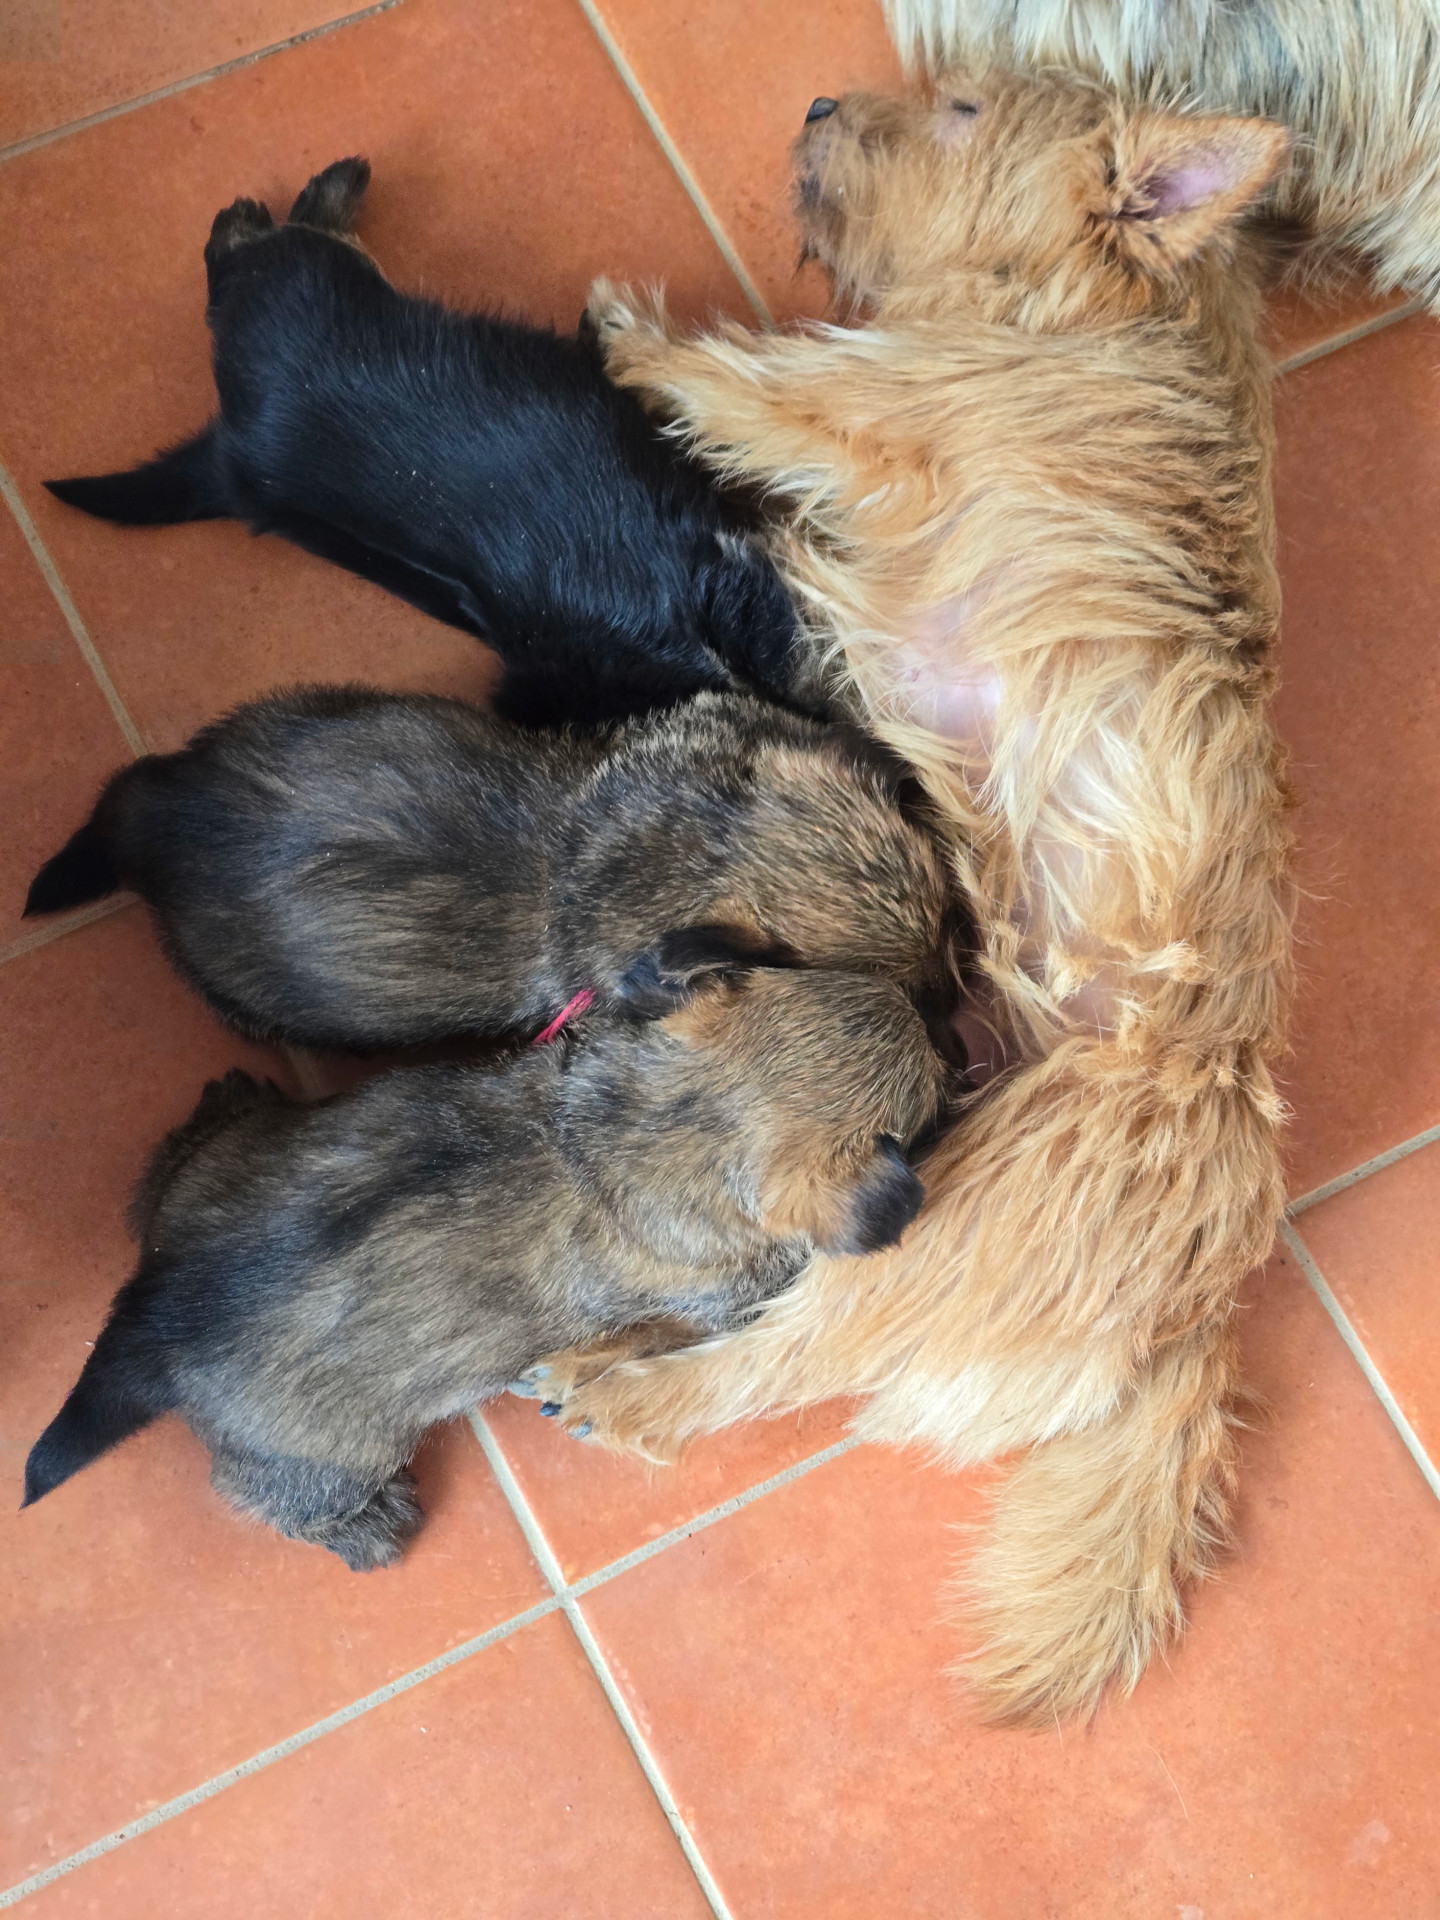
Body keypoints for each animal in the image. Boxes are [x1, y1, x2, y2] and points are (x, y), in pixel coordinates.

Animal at [23, 968, 947, 1568]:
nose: (945, 1017)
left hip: (213, 1174)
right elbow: (650, 1333)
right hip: (329, 1453)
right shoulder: (722, 1299)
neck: (653, 1122)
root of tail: (155, 1312)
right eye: (935, 1095)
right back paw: (367, 1531)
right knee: (268, 1498)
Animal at [523, 70, 1297, 1725]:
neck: (1097, 311)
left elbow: (761, 378)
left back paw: (628, 1392)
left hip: (937, 1221)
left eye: (959, 104)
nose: (822, 97)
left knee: (769, 1366)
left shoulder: (889, 403)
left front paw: (636, 335)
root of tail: (1201, 1304)